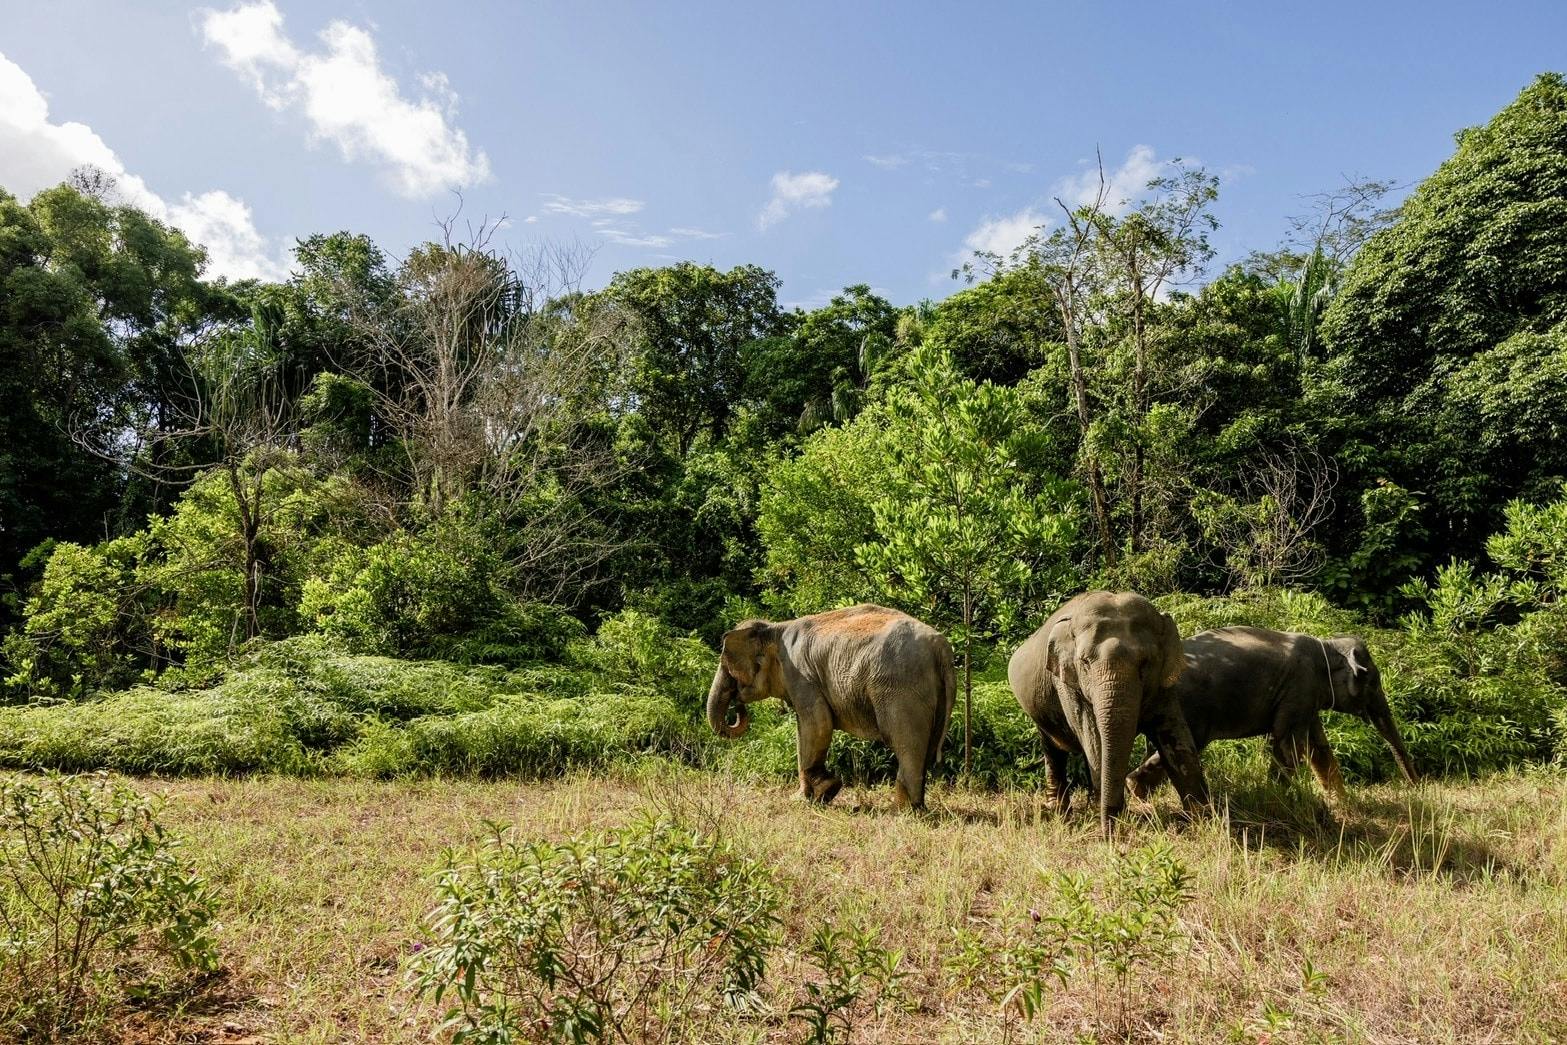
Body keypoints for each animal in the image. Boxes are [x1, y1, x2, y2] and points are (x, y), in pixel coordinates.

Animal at [706, 604, 956, 810]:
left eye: (728, 668)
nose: (737, 705)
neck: (774, 627)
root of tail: (941, 647)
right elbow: (804, 728)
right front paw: (808, 796)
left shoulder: (800, 675)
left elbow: (817, 723)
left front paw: (822, 792)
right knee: (927, 746)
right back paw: (915, 807)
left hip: (900, 689)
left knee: (905, 743)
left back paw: (902, 810)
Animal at [1009, 591, 1210, 838]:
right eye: (1085, 662)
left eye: (1145, 663)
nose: (1109, 832)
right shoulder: (1068, 684)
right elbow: (1093, 739)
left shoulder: (1163, 686)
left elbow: (1174, 735)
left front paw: (1205, 821)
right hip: (1040, 711)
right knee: (1054, 750)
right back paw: (1061, 812)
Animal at [1126, 626, 1420, 803]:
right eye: (1373, 683)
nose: (1417, 788)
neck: (1327, 645)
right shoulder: (1300, 686)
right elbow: (1288, 742)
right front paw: (1279, 797)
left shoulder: (1306, 695)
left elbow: (1318, 747)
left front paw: (1342, 802)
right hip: (1190, 707)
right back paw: (1135, 788)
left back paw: (1138, 791)